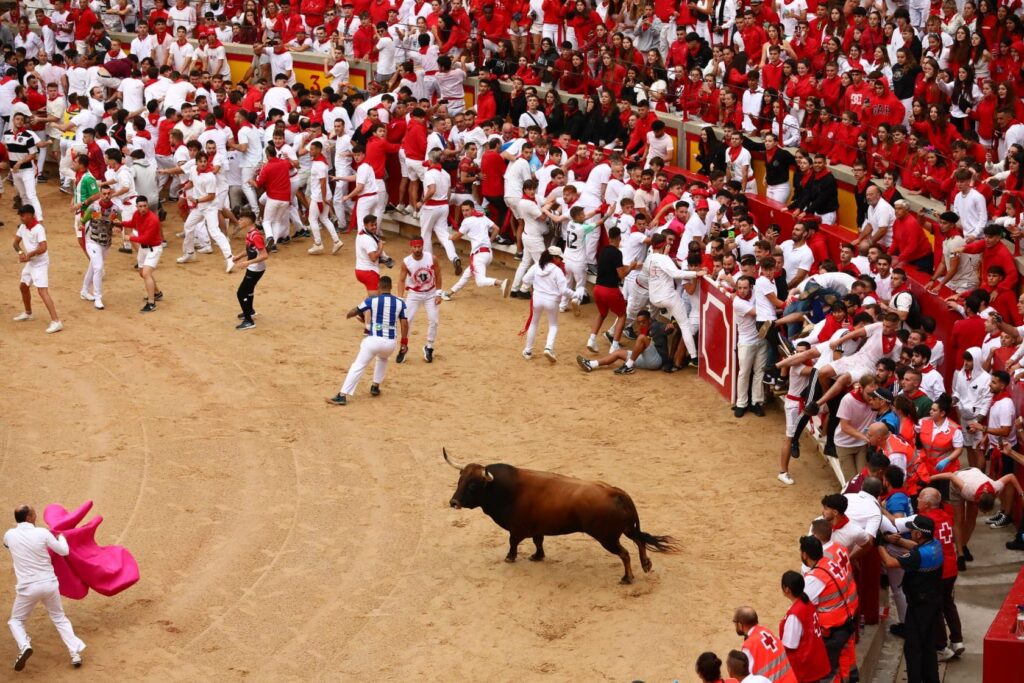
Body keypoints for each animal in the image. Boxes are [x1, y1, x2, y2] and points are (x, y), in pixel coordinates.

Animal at [442, 448, 675, 581]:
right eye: (460, 480)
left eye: (473, 485)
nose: (454, 502)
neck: (504, 489)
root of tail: (615, 492)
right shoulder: (537, 528)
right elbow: (538, 542)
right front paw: (537, 556)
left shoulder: (517, 529)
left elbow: (513, 543)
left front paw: (510, 558)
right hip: (625, 529)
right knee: (639, 540)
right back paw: (646, 565)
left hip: (608, 538)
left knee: (625, 553)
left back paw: (627, 578)